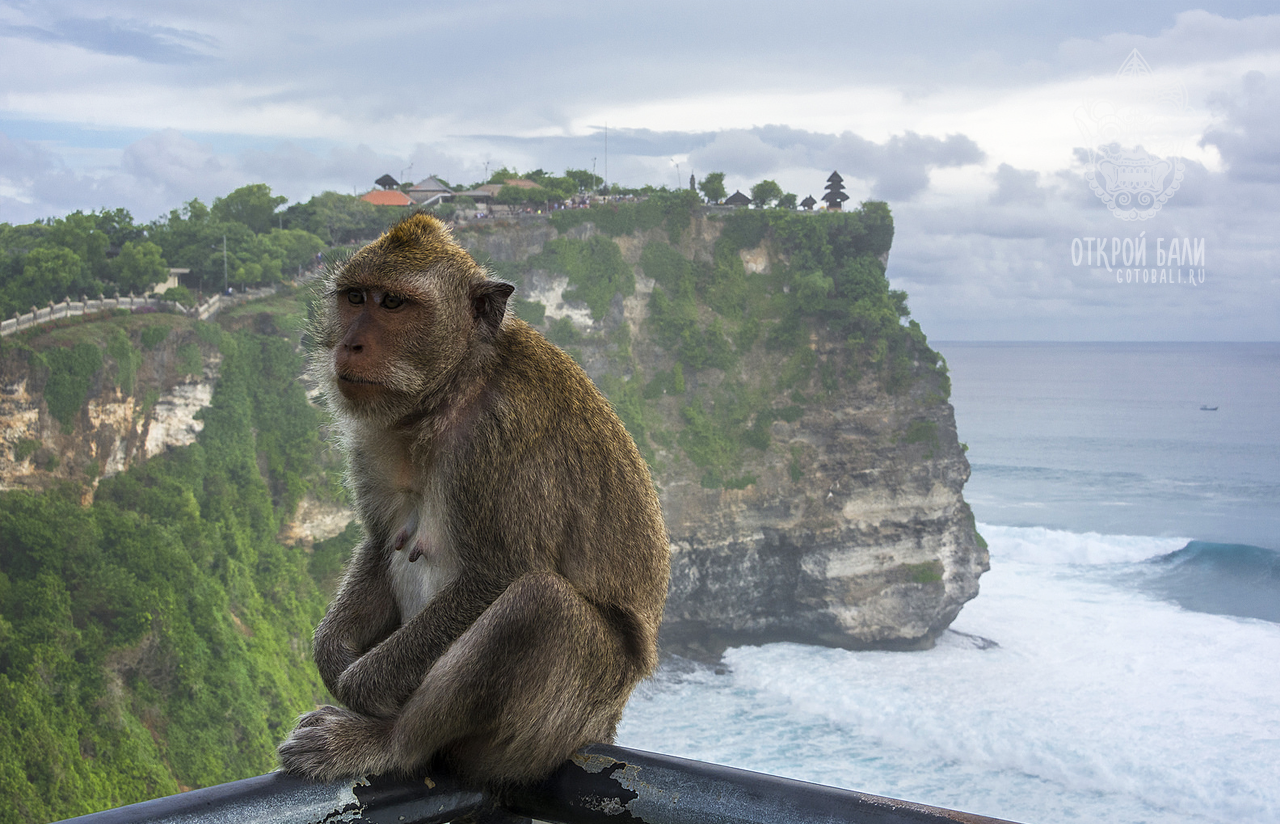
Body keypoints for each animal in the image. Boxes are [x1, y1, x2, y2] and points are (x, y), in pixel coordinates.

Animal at [279, 209, 670, 788]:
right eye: (355, 297)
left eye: (392, 303)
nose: (349, 345)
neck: (452, 388)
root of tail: (607, 725)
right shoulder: (373, 434)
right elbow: (380, 542)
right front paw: (331, 654)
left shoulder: (501, 436)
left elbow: (499, 574)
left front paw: (357, 685)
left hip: (560, 724)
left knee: (539, 607)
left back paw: (389, 742)